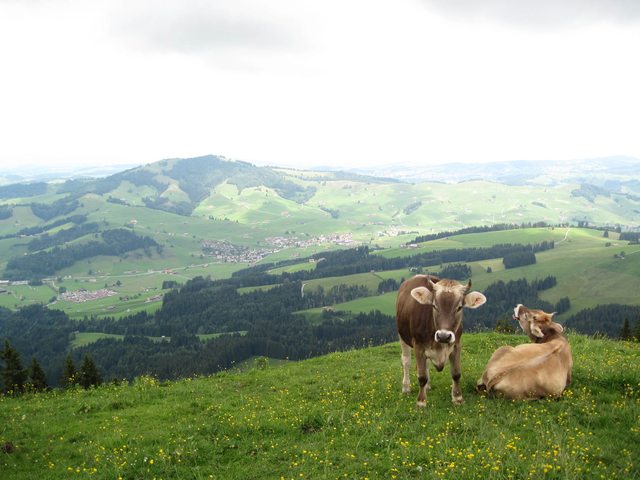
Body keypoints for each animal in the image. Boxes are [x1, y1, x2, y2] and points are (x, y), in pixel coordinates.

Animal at [396, 276, 484, 406]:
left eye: (459, 307)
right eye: (434, 306)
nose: (443, 336)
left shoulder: (457, 345)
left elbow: (456, 373)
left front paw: (458, 398)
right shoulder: (418, 346)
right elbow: (421, 376)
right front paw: (421, 401)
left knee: (426, 364)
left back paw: (427, 386)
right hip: (402, 336)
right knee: (406, 361)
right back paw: (406, 387)